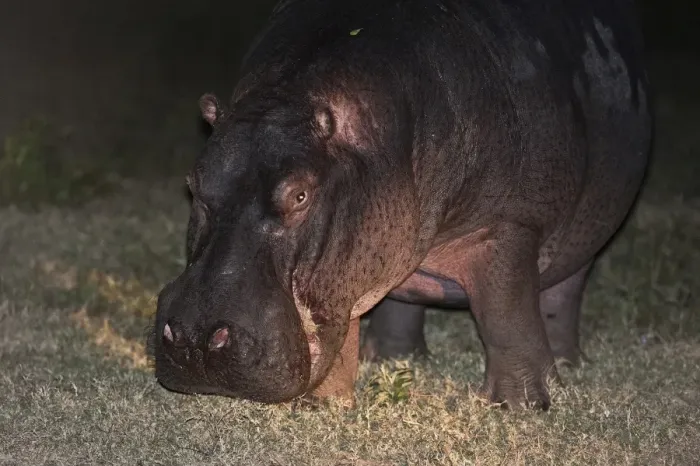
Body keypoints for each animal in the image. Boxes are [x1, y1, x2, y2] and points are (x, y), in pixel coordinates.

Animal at [154, 0, 651, 409]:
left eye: (300, 194)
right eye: (193, 183)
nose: (195, 337)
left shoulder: (506, 226)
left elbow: (506, 317)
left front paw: (522, 408)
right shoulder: (351, 262)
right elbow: (342, 334)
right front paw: (321, 408)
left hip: (585, 235)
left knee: (562, 294)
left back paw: (567, 365)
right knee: (400, 299)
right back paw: (394, 360)